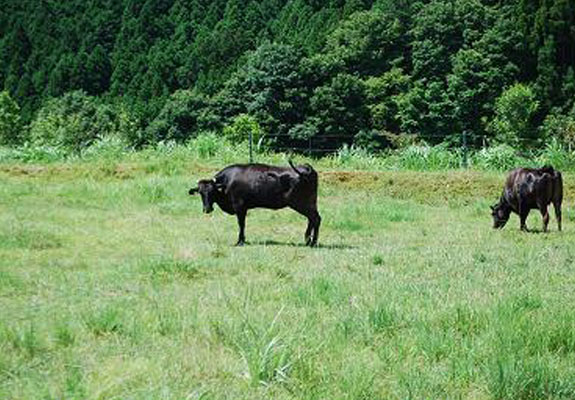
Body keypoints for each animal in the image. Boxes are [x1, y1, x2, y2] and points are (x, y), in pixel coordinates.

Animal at [191, 161, 322, 245]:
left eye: (212, 191)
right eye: (200, 193)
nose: (207, 209)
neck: (228, 182)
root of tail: (306, 167)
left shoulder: (240, 206)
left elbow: (241, 224)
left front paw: (240, 241)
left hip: (300, 203)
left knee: (315, 218)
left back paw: (313, 242)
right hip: (310, 202)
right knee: (313, 219)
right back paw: (308, 240)